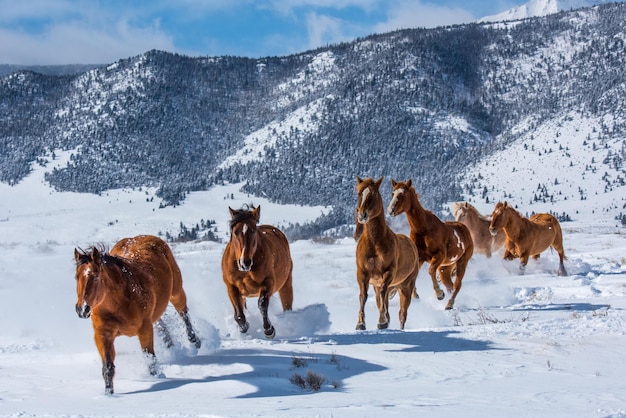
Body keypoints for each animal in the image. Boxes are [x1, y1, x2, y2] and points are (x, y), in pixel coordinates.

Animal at [73, 235, 201, 396]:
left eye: (95, 276)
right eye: (76, 277)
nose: (82, 309)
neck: (118, 303)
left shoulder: (144, 330)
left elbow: (150, 359)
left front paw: (158, 377)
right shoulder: (103, 335)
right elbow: (108, 367)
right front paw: (109, 394)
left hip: (176, 291)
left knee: (183, 312)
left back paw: (194, 341)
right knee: (160, 323)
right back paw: (171, 346)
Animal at [221, 206, 294, 340]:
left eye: (254, 230)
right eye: (235, 232)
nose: (245, 262)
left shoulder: (268, 282)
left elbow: (262, 305)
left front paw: (269, 330)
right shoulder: (231, 286)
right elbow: (239, 313)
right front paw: (244, 327)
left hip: (286, 284)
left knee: (287, 305)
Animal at [352, 176, 420, 330]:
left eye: (374, 194)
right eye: (359, 194)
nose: (362, 215)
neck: (374, 243)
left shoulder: (388, 272)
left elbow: (383, 291)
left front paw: (382, 322)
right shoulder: (363, 274)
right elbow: (363, 296)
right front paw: (360, 323)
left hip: (406, 286)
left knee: (402, 313)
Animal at [386, 180, 472, 310]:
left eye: (403, 193)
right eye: (393, 193)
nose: (391, 210)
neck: (424, 229)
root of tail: (465, 229)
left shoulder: (438, 255)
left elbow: (431, 271)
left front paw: (439, 294)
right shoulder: (419, 257)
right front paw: (405, 293)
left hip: (462, 262)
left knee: (457, 285)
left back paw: (449, 304)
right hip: (445, 267)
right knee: (449, 285)